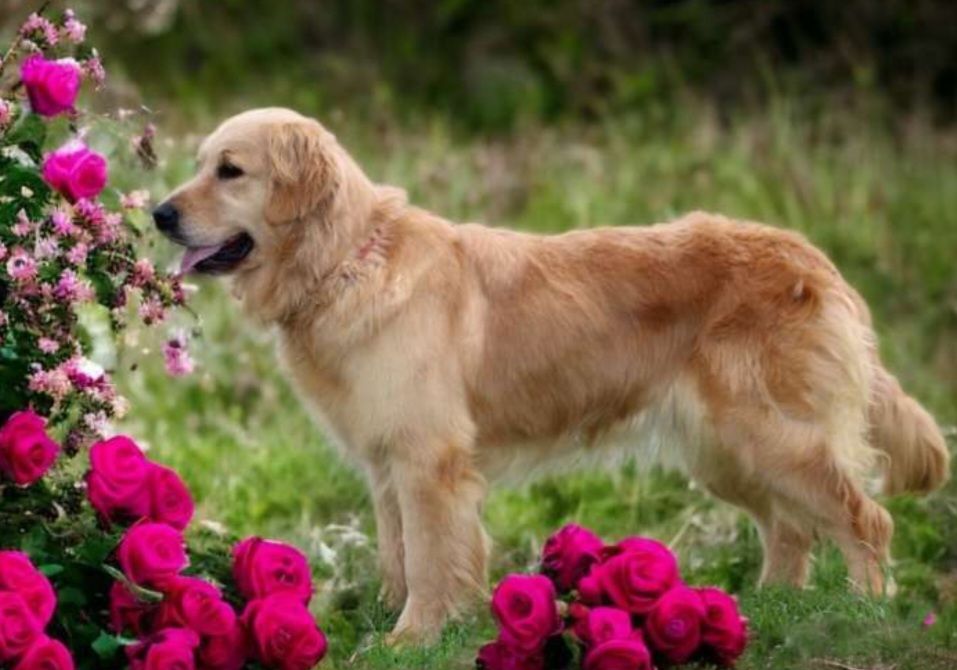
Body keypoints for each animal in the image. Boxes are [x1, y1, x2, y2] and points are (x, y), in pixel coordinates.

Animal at [153, 107, 944, 644]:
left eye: (230, 171)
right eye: (199, 163)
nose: (159, 213)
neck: (344, 261)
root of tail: (814, 260)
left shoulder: (429, 462)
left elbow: (431, 561)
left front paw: (411, 637)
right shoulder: (386, 467)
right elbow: (399, 555)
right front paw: (390, 621)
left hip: (763, 434)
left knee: (864, 517)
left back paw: (864, 609)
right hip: (724, 448)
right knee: (790, 527)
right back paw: (769, 607)